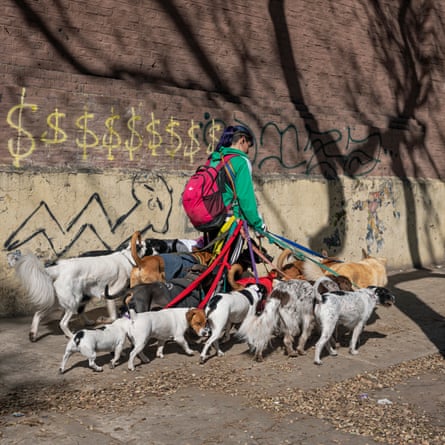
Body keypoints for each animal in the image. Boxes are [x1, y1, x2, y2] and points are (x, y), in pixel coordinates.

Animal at [6, 232, 146, 340]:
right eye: (148, 244)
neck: (127, 258)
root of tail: (58, 268)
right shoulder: (110, 292)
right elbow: (113, 316)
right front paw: (104, 320)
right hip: (73, 300)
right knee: (62, 322)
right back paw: (70, 335)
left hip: (59, 300)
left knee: (38, 314)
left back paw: (33, 334)